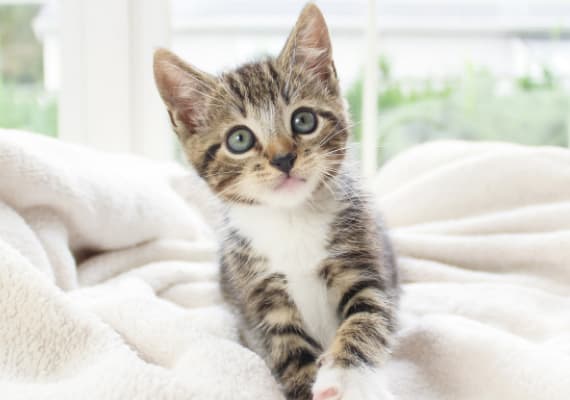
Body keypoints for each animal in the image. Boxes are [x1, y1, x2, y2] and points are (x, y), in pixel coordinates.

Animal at [153, 3, 398, 400]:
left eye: (304, 120)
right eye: (239, 139)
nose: (283, 159)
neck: (291, 219)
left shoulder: (364, 265)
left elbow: (367, 318)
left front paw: (345, 377)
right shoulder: (260, 297)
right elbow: (288, 350)